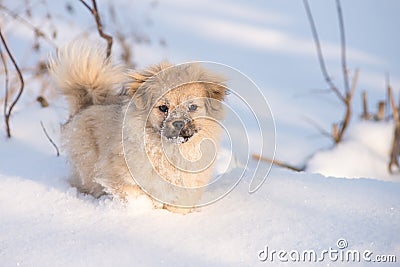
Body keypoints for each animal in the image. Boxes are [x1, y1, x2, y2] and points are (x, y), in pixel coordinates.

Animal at [48, 42, 227, 214]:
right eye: (163, 108)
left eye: (192, 107)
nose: (178, 123)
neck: (171, 153)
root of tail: (85, 105)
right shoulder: (120, 177)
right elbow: (135, 194)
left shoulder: (183, 193)